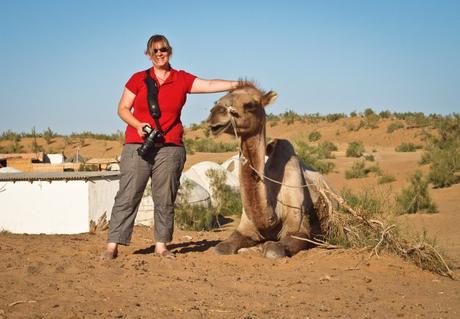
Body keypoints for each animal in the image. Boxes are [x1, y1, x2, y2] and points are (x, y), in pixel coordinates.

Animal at [208, 84, 320, 258]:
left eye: (250, 105)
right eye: (217, 101)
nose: (215, 113)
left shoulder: (299, 226)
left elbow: (274, 250)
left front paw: (262, 248)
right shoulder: (246, 226)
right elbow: (220, 248)